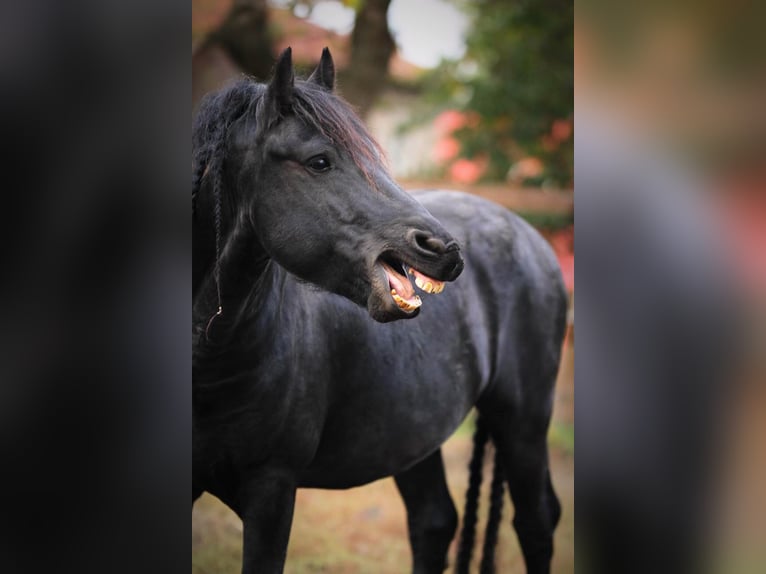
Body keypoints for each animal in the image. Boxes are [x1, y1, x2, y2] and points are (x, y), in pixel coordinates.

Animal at [190, 47, 564, 572]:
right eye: (319, 161)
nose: (444, 250)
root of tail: (528, 233)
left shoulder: (272, 489)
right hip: (413, 431)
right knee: (434, 520)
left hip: (524, 422)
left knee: (535, 522)